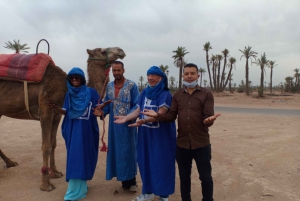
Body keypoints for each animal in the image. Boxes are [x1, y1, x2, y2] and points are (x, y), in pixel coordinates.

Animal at [0, 46, 125, 191]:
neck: (67, 89)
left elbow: (53, 143)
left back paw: (10, 162)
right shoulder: (46, 110)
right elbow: (46, 146)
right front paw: (45, 184)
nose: (121, 50)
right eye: (102, 51)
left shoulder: (57, 114)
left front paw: (55, 173)